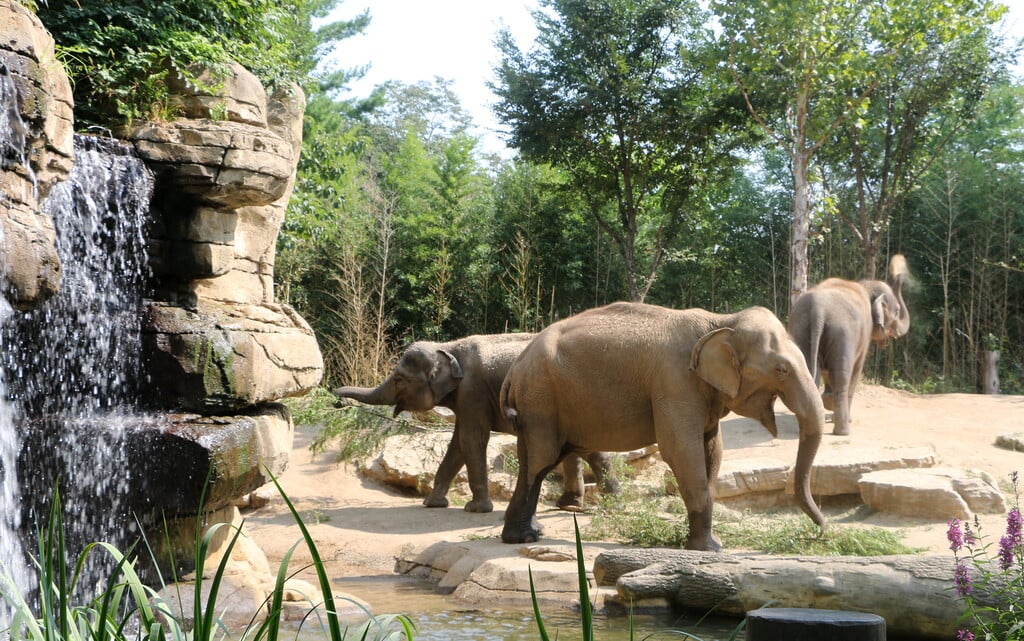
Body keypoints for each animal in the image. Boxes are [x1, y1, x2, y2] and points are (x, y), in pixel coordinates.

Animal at [333, 334, 618, 513]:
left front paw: (476, 509)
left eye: (398, 379)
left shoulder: (473, 391)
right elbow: (458, 443)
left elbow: (472, 438)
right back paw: (581, 503)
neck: (449, 346)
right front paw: (432, 504)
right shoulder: (465, 398)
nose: (337, 400)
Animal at [499, 302, 826, 551]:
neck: (721, 321)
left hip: (538, 402)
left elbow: (712, 450)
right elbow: (681, 451)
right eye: (782, 369)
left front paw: (708, 544)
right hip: (541, 398)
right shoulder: (675, 382)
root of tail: (516, 366)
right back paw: (526, 537)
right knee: (542, 458)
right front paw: (709, 550)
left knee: (533, 460)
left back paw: (524, 535)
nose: (823, 530)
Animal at [788, 254, 911, 436]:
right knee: (843, 378)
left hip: (800, 329)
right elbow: (856, 370)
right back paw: (843, 431)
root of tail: (818, 310)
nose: (899, 271)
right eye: (896, 311)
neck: (865, 285)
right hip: (843, 333)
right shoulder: (864, 336)